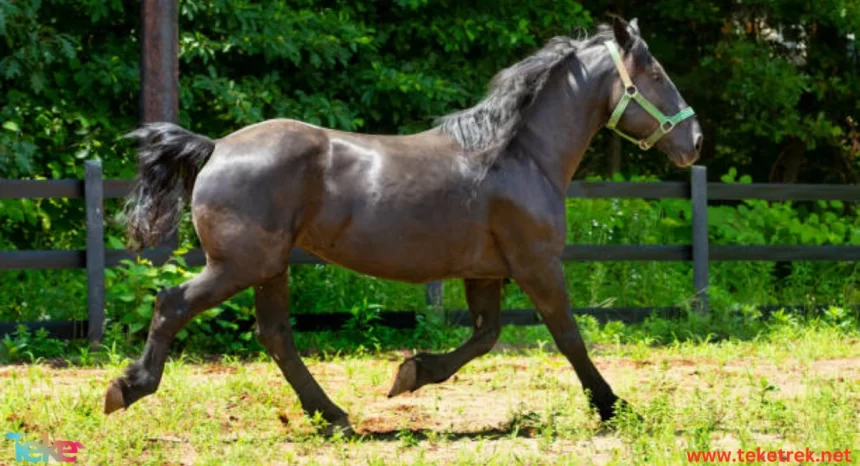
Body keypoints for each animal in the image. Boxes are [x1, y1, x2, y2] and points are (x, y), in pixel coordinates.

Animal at [104, 15, 704, 436]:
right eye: (655, 74)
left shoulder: (486, 272)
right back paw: (127, 388)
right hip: (239, 265)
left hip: (268, 268)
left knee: (275, 335)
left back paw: (333, 416)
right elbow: (568, 336)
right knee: (174, 304)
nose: (695, 141)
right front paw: (613, 407)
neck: (519, 156)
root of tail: (215, 147)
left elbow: (485, 336)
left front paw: (409, 374)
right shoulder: (537, 264)